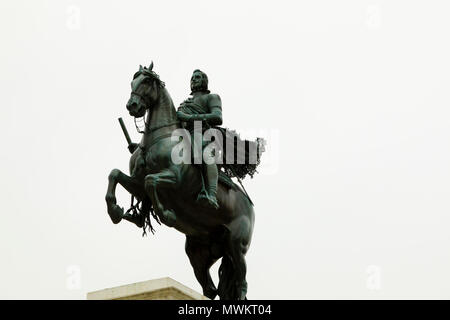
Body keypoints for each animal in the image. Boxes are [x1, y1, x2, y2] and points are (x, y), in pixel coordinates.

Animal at [103, 62, 255, 300]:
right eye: (133, 80)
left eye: (147, 81)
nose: (132, 105)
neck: (159, 138)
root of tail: (250, 207)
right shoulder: (136, 185)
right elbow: (115, 174)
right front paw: (116, 211)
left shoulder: (176, 180)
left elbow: (151, 181)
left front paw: (167, 214)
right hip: (200, 252)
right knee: (210, 289)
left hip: (236, 247)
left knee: (241, 282)